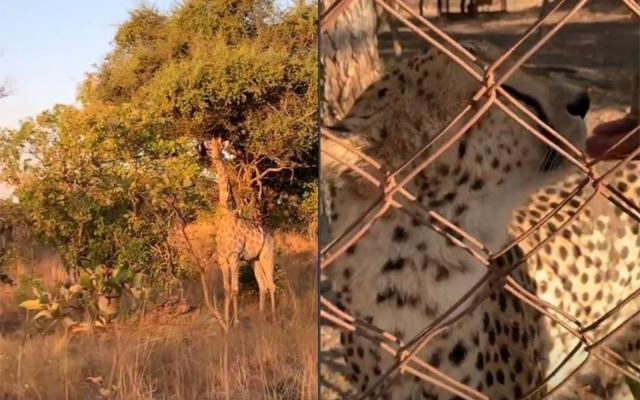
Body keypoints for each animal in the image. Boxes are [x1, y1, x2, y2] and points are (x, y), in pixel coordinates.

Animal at [203, 138, 276, 324]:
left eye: (222, 148)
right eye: (210, 146)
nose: (215, 156)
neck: (226, 215)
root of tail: (271, 235)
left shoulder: (234, 257)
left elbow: (235, 289)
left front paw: (235, 322)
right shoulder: (223, 258)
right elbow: (226, 289)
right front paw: (226, 321)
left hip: (267, 256)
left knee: (272, 285)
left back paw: (274, 316)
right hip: (254, 260)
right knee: (263, 285)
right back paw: (261, 315)